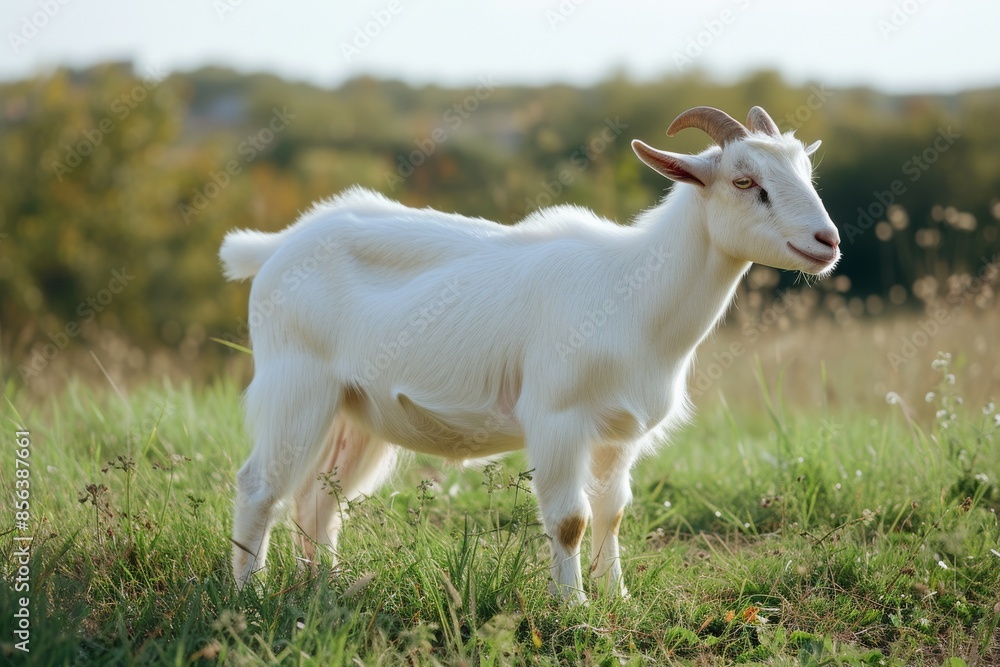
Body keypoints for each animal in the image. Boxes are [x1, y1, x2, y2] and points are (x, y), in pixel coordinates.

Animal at [220, 106, 840, 603]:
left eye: (805, 174)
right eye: (744, 180)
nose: (827, 241)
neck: (632, 294)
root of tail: (276, 247)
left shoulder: (620, 432)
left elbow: (613, 512)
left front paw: (618, 599)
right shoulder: (557, 418)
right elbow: (570, 520)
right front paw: (574, 607)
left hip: (355, 413)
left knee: (319, 502)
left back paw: (326, 589)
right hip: (296, 388)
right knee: (259, 488)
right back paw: (248, 596)